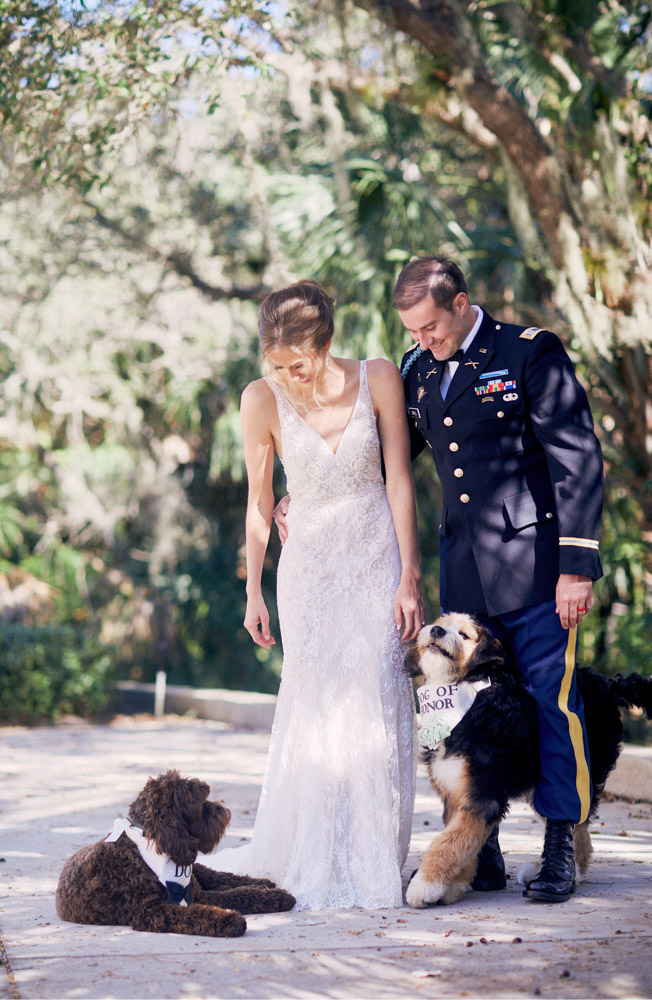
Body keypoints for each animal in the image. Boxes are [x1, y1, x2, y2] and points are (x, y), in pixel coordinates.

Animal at [56, 772, 296, 936]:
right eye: (198, 803)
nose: (226, 812)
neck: (145, 844)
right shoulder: (152, 911)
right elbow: (204, 910)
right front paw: (230, 919)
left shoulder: (195, 893)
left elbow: (238, 892)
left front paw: (273, 894)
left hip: (200, 871)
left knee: (223, 876)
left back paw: (264, 881)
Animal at [404, 612, 648, 912]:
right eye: (441, 622)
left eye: (464, 635)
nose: (436, 630)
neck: (467, 697)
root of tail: (608, 684)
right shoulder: (458, 795)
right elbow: (462, 842)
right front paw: (455, 884)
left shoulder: (482, 797)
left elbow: (447, 843)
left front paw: (425, 886)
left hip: (581, 769)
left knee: (576, 824)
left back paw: (561, 876)